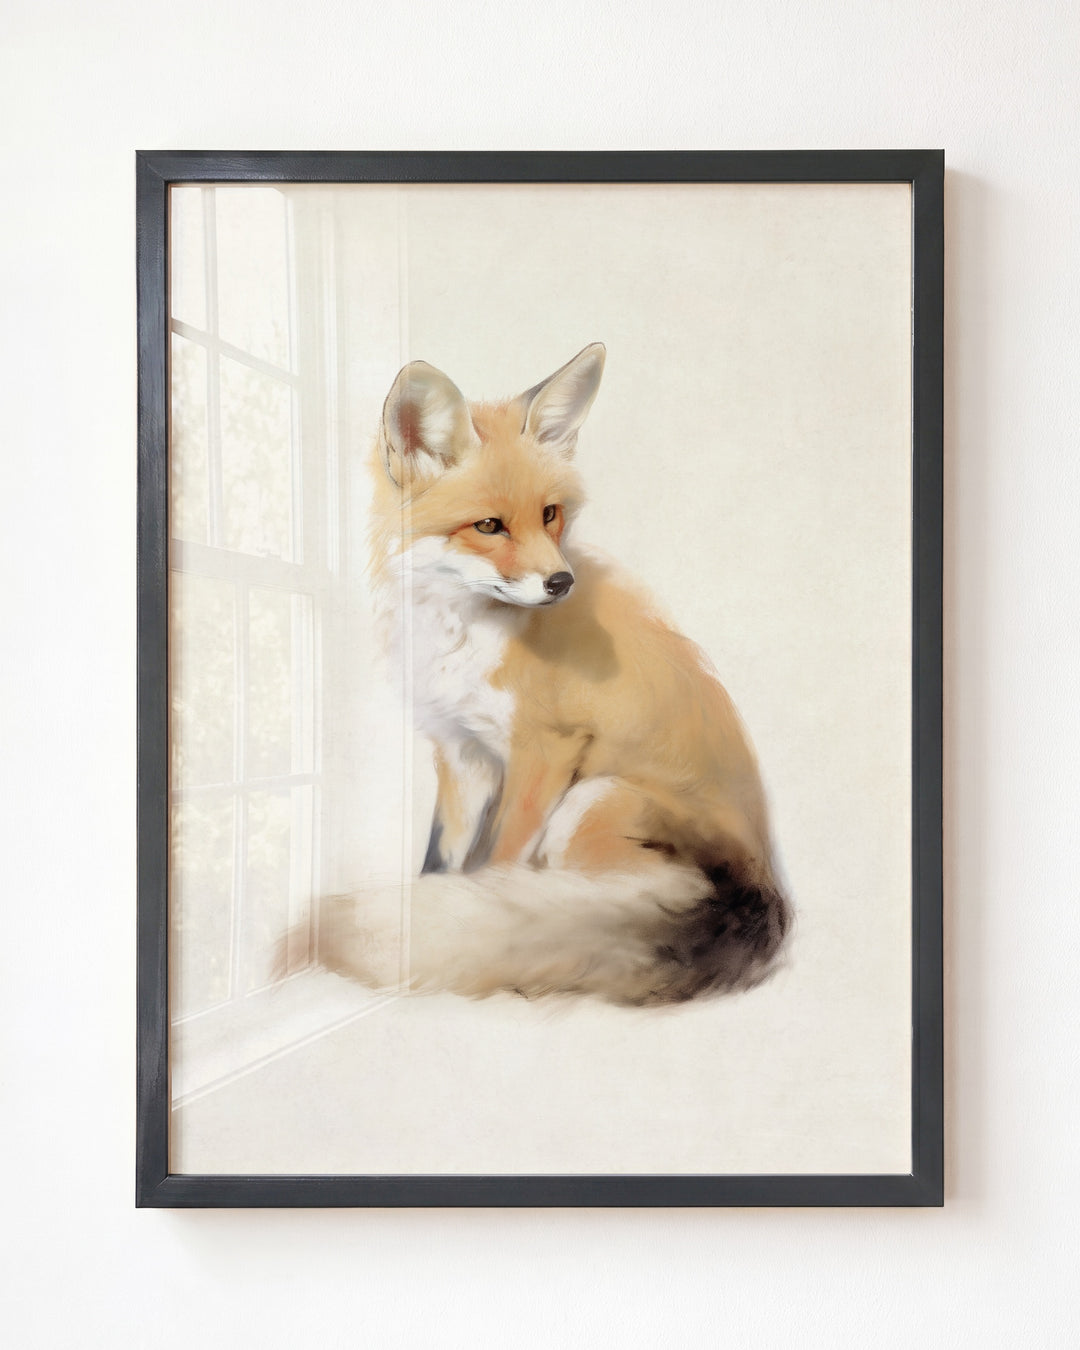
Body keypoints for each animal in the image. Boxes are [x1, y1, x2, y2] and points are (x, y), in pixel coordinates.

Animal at [321, 342, 790, 1006]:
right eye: (489, 526)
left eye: (549, 514)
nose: (561, 582)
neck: (457, 638)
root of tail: (764, 889)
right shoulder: (461, 754)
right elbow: (443, 859)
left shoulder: (545, 752)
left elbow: (498, 867)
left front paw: (478, 928)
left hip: (591, 801)